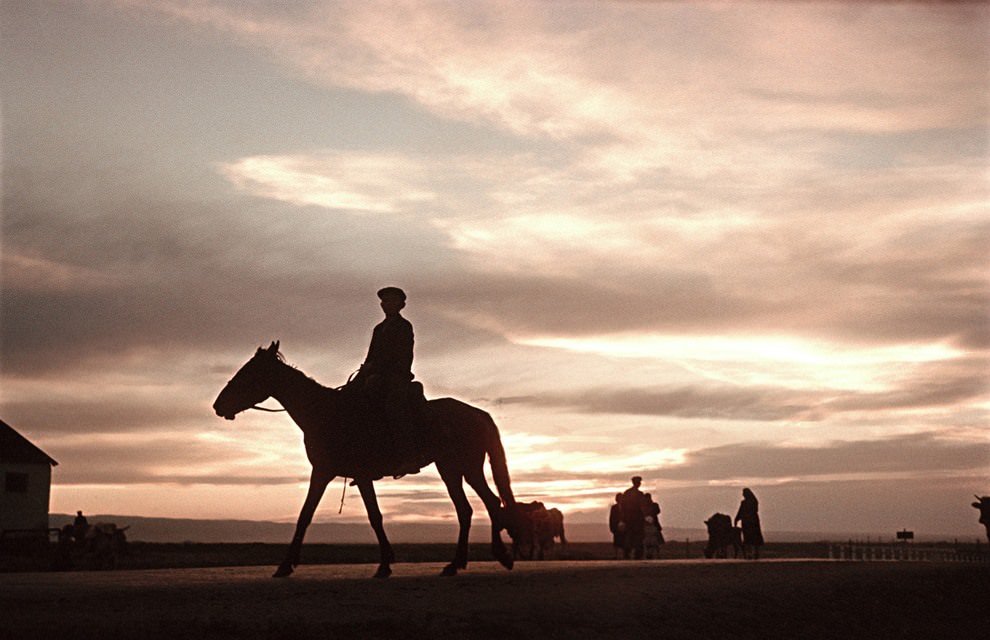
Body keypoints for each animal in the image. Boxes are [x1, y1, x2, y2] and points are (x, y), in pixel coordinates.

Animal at [210, 342, 520, 576]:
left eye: (249, 373)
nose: (218, 405)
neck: (326, 414)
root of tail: (479, 414)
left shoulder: (360, 474)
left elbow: (375, 516)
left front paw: (384, 564)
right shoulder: (322, 472)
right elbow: (305, 515)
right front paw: (285, 566)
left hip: (468, 467)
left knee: (491, 502)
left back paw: (501, 556)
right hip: (450, 469)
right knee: (466, 510)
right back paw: (455, 564)